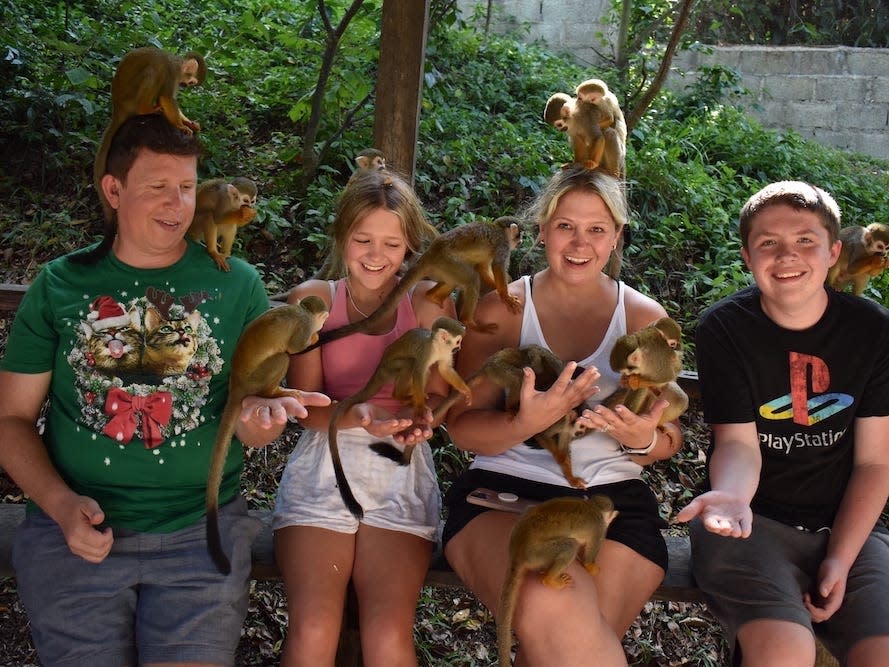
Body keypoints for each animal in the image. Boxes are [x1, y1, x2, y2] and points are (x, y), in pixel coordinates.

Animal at [94, 48, 207, 224]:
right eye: (191, 82)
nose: (186, 85)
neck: (177, 64)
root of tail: (117, 108)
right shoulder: (171, 73)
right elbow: (167, 98)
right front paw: (181, 126)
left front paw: (188, 123)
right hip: (130, 99)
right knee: (154, 71)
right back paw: (145, 108)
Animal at [306, 218, 520, 354]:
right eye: (519, 235)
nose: (521, 241)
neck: (499, 229)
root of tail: (431, 251)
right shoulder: (503, 245)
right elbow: (496, 267)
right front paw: (505, 294)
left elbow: (483, 267)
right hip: (447, 261)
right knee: (471, 279)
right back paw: (469, 321)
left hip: (442, 266)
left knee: (457, 279)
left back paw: (433, 297)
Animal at [496, 496, 620, 667]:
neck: (593, 506)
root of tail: (517, 553)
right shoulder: (600, 529)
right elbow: (589, 561)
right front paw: (593, 568)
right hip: (539, 552)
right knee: (570, 546)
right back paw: (550, 580)